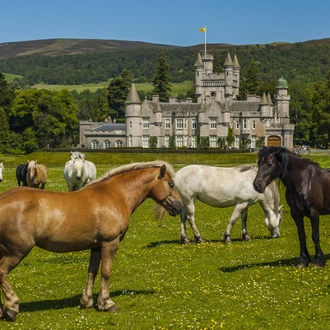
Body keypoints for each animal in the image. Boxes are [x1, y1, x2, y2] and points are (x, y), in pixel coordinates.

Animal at [0, 161, 183, 320]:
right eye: (171, 184)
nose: (179, 207)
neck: (116, 194)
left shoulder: (96, 247)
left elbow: (92, 271)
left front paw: (87, 301)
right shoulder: (110, 243)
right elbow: (106, 272)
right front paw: (106, 303)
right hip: (18, 250)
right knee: (2, 272)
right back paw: (11, 307)